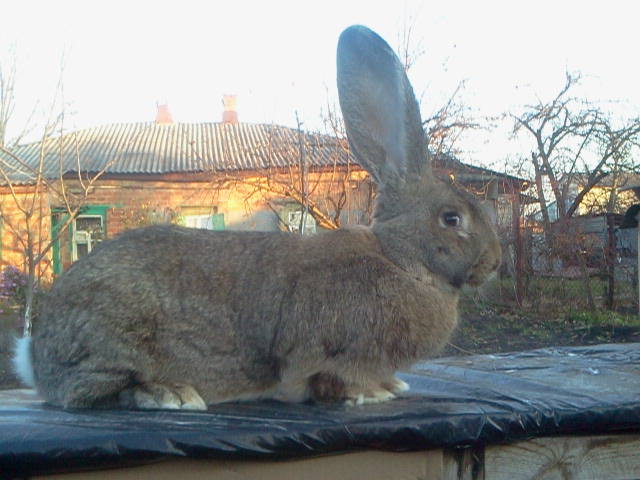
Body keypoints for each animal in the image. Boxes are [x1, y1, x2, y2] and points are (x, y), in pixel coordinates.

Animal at [13, 25, 500, 408]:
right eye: (452, 219)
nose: (494, 264)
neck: (398, 257)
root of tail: (34, 355)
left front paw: (391, 385)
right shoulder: (322, 352)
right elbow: (323, 379)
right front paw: (371, 393)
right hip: (114, 339)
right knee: (90, 391)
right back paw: (170, 394)